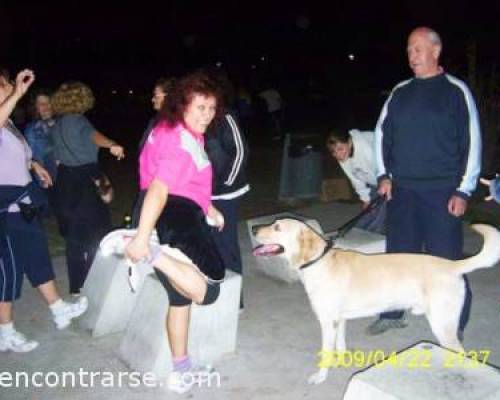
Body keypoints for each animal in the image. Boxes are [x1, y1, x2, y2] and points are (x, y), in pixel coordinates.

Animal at [252, 219, 500, 384]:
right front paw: (341, 362)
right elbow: (340, 346)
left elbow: (326, 354)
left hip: (443, 326)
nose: (253, 229)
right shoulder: (339, 321)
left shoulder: (327, 322)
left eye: (277, 227)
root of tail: (452, 265)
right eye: (272, 223)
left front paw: (321, 376)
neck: (319, 261)